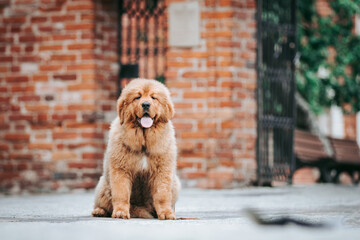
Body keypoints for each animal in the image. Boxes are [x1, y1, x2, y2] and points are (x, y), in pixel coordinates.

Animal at [92, 78, 180, 219]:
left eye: (153, 97)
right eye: (137, 97)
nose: (146, 104)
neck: (143, 141)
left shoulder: (162, 171)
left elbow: (162, 194)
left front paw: (166, 213)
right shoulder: (121, 170)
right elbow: (121, 193)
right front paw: (121, 212)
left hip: (175, 183)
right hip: (103, 186)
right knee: (104, 203)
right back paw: (99, 211)